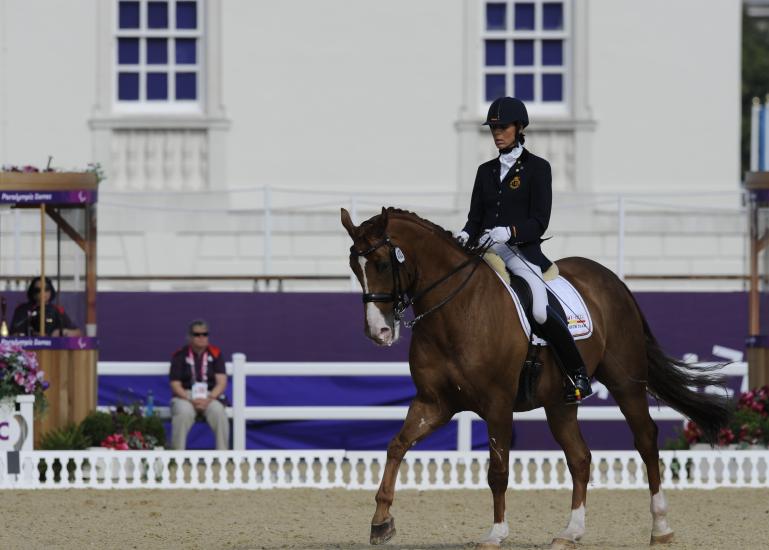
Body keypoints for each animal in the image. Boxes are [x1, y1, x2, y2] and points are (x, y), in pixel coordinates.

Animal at [342, 208, 732, 550]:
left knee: (646, 440)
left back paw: (661, 527)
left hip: (626, 382)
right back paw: (570, 532)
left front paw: (496, 533)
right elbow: (396, 446)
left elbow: (498, 470)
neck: (456, 309)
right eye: (353, 267)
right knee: (580, 457)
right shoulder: (433, 403)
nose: (378, 332)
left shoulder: (497, 405)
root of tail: (612, 280)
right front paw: (381, 522)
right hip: (561, 402)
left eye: (381, 263)